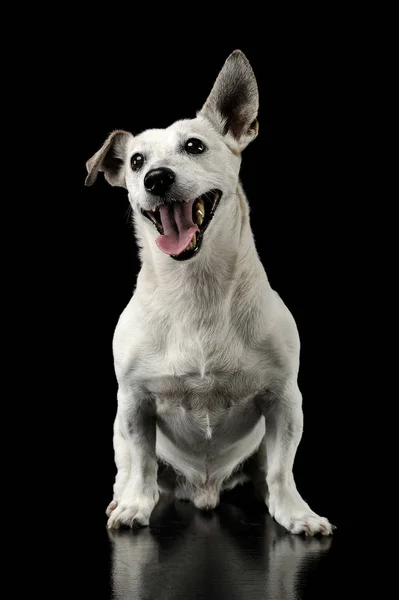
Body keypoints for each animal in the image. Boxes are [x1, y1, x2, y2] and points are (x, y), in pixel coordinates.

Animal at [84, 48, 334, 536]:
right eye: (136, 162)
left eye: (195, 147)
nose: (156, 178)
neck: (195, 287)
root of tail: (204, 490)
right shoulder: (134, 403)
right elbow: (142, 462)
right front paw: (135, 505)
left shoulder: (284, 400)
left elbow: (282, 469)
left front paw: (296, 513)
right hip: (118, 430)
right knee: (129, 467)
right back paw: (124, 498)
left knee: (265, 470)